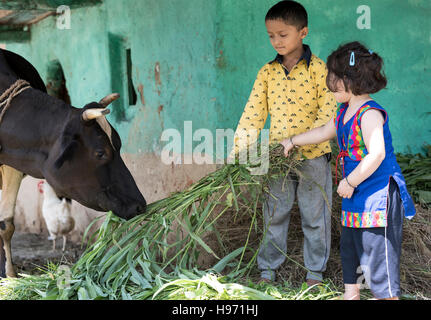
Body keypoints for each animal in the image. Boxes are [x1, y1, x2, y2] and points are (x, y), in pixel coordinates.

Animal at [0, 49, 148, 278]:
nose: (139, 204)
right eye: (100, 152)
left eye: (119, 144)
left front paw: (9, 275)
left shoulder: (13, 165)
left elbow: (5, 224)